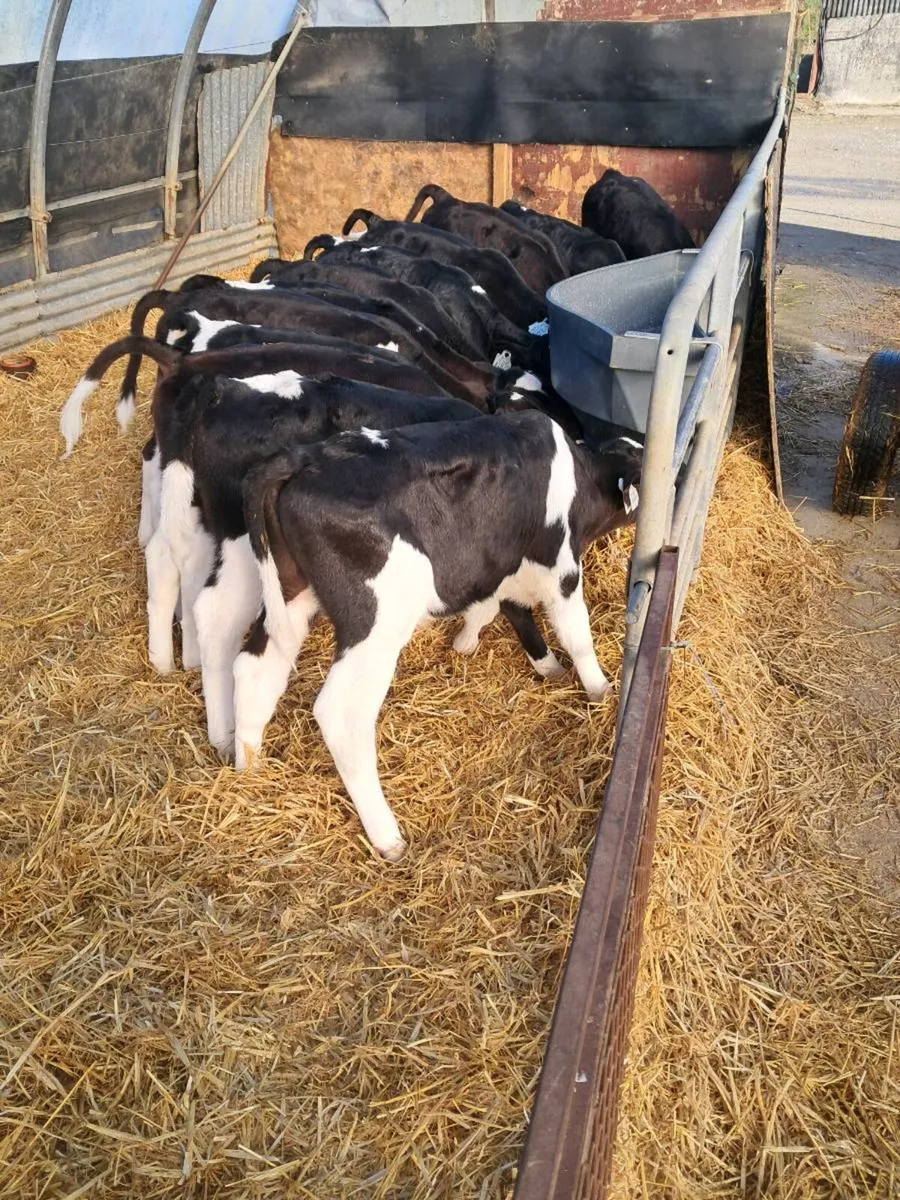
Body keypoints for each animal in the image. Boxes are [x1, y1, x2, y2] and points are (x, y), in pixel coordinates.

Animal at [233, 411, 642, 859]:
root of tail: (304, 457)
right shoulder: (561, 566)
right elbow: (575, 635)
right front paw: (600, 690)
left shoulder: (496, 565)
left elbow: (495, 609)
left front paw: (481, 648)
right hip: (375, 622)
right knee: (341, 714)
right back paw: (387, 837)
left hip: (290, 591)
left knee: (255, 668)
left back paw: (247, 768)